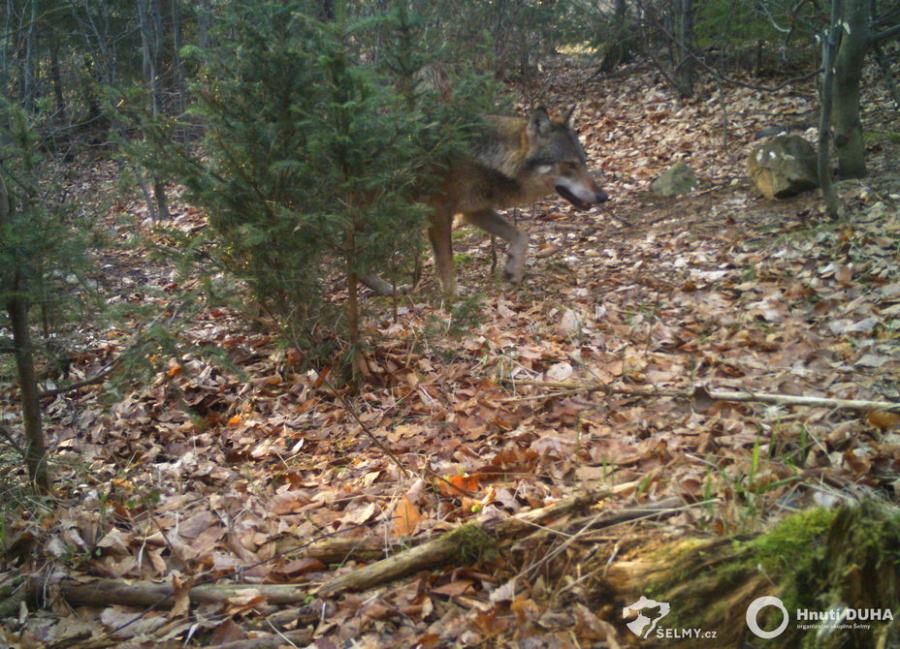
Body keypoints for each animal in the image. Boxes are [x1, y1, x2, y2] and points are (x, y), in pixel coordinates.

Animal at [368, 107, 612, 296]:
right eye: (569, 165)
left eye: (583, 162)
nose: (603, 197)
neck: (483, 158)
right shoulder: (439, 212)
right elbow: (446, 260)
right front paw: (452, 294)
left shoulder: (474, 211)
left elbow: (521, 235)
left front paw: (513, 269)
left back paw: (387, 290)